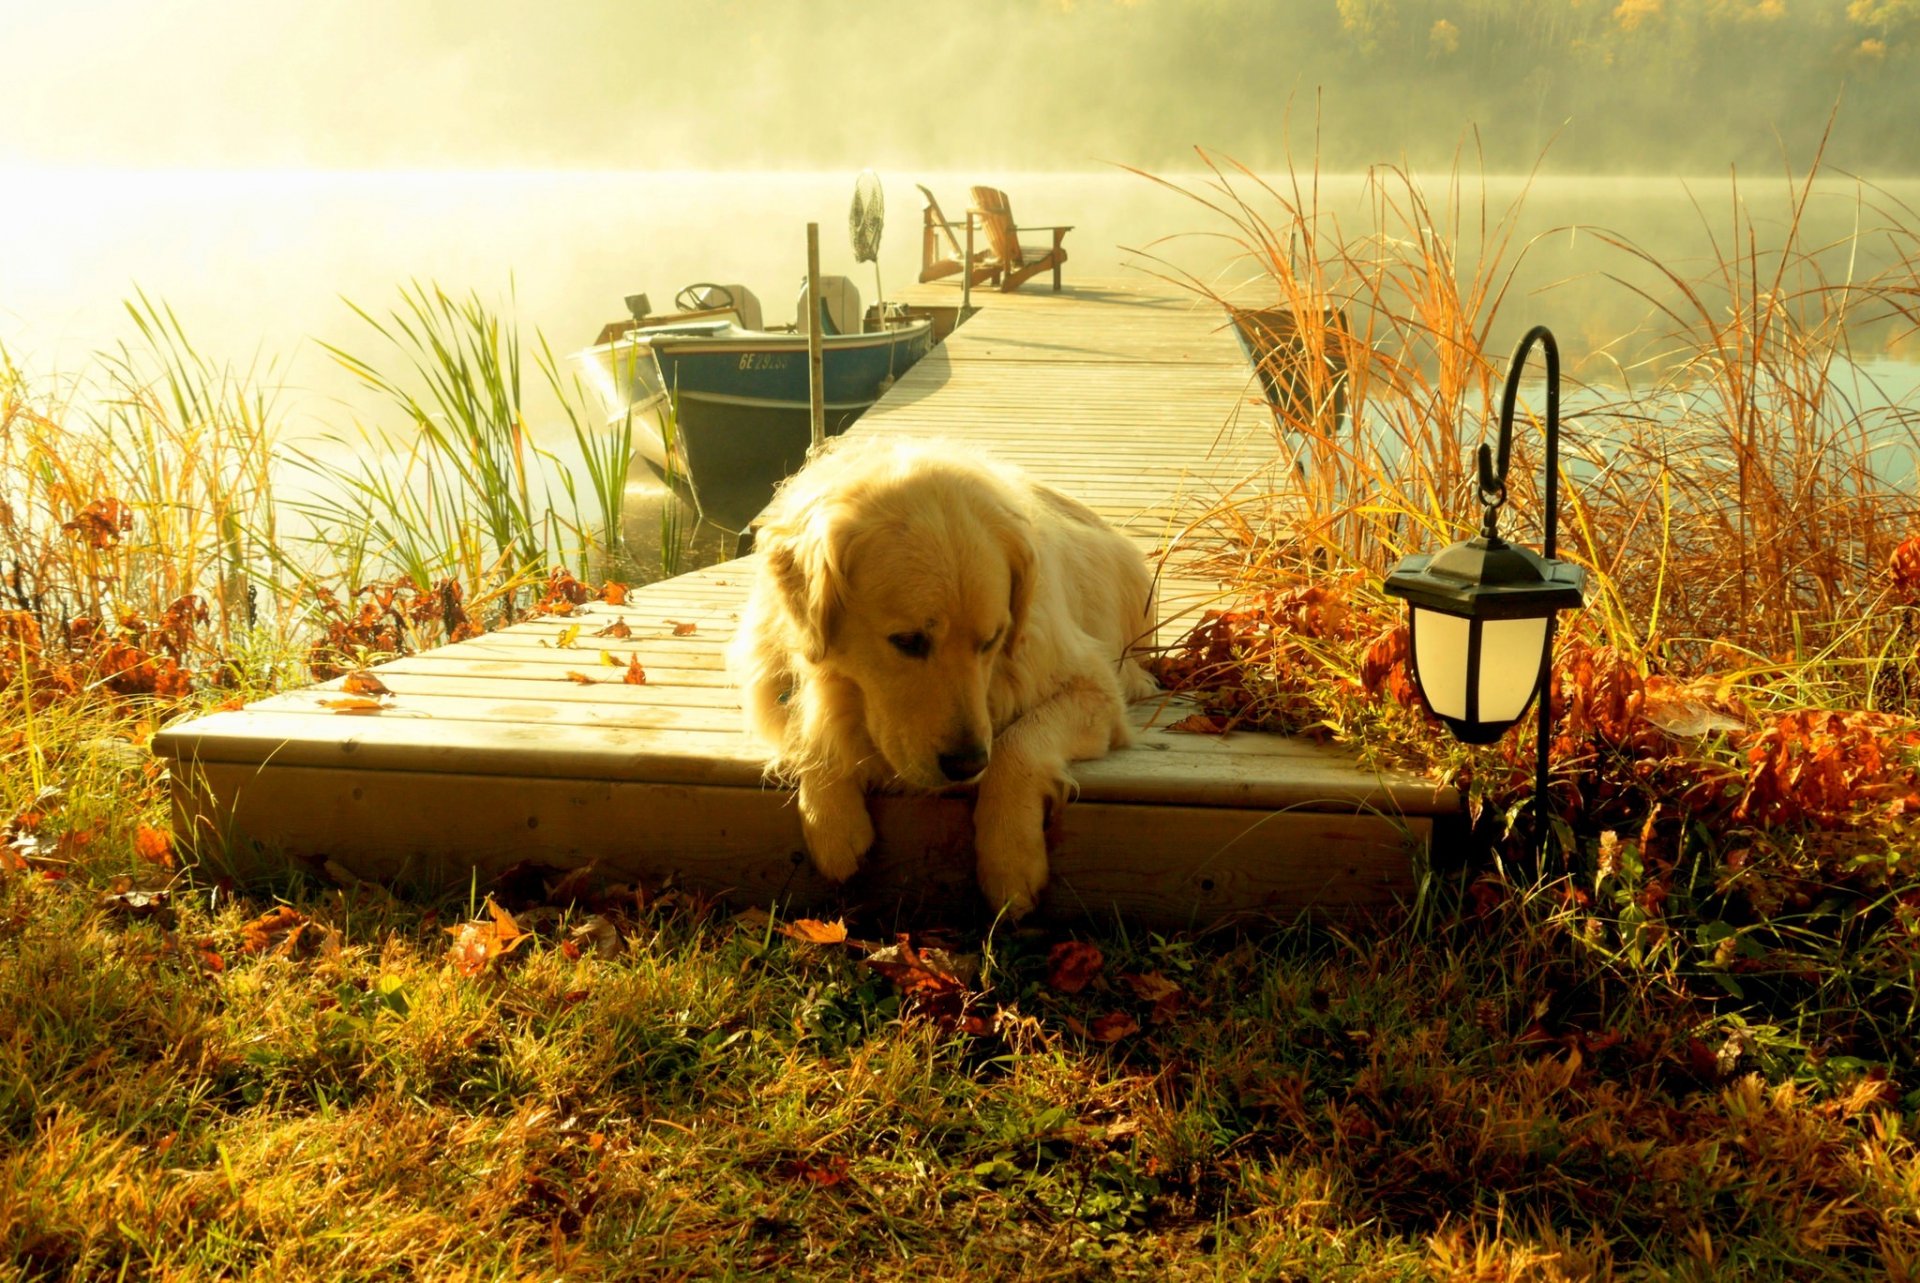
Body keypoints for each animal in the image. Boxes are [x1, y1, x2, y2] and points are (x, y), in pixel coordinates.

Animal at [725, 435, 1152, 918]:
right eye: (909, 641)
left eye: (992, 640)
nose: (967, 764)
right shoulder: (770, 674)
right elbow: (804, 718)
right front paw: (830, 818)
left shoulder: (1094, 688)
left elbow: (1016, 746)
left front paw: (1010, 859)